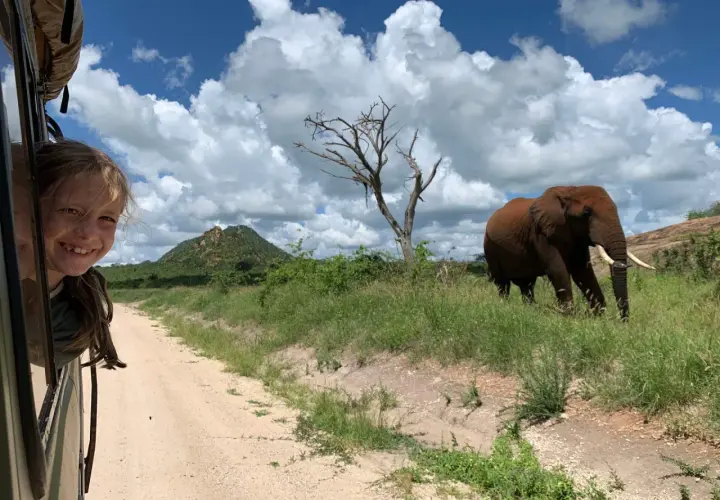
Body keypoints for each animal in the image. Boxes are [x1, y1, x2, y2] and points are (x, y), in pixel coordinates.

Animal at [482, 185, 655, 321]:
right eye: (586, 213)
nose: (623, 323)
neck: (570, 190)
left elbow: (583, 271)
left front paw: (597, 316)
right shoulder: (540, 233)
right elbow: (558, 269)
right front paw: (569, 316)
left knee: (527, 285)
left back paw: (530, 311)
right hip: (489, 248)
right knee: (502, 284)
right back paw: (505, 307)